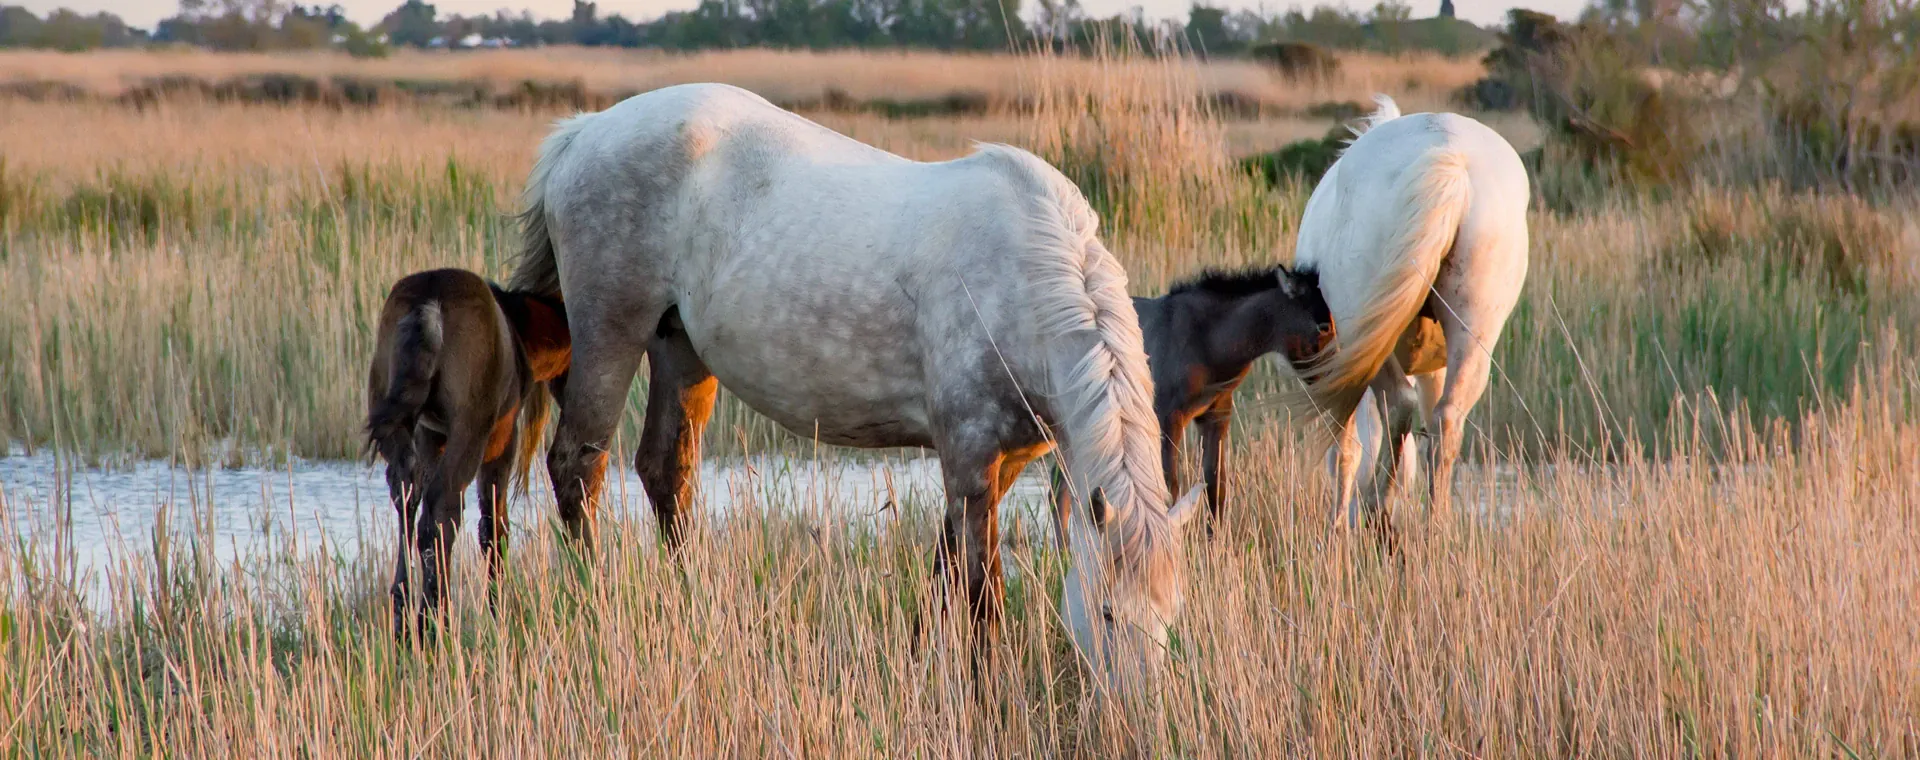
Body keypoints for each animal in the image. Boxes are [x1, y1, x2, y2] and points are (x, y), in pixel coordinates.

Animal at [365, 268, 571, 640]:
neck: (520, 333)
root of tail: (428, 304)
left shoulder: (432, 435)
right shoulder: (503, 436)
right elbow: (493, 523)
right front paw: (500, 609)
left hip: (393, 418)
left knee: (407, 496)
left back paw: (404, 618)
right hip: (470, 428)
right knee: (442, 509)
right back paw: (434, 622)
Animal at [504, 83, 1204, 689]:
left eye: (1171, 618)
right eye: (1108, 611)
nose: (1137, 711)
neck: (1025, 278)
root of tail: (583, 131)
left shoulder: (1000, 462)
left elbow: (946, 566)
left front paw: (920, 662)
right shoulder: (970, 455)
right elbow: (981, 587)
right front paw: (988, 687)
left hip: (680, 349)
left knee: (665, 471)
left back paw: (691, 604)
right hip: (610, 334)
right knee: (577, 467)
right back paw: (594, 603)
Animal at [1047, 266, 1333, 540]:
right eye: (1323, 328)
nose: (1333, 380)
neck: (1208, 343)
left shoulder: (1216, 416)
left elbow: (1215, 485)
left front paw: (1214, 546)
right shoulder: (1167, 418)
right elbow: (1169, 486)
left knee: (1060, 487)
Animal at [1283, 95, 1530, 535]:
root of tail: (1451, 158)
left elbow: (1345, 449)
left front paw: (1337, 524)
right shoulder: (1433, 366)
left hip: (1364, 335)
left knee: (1398, 404)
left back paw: (1378, 511)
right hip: (1474, 332)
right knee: (1446, 418)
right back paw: (1436, 524)